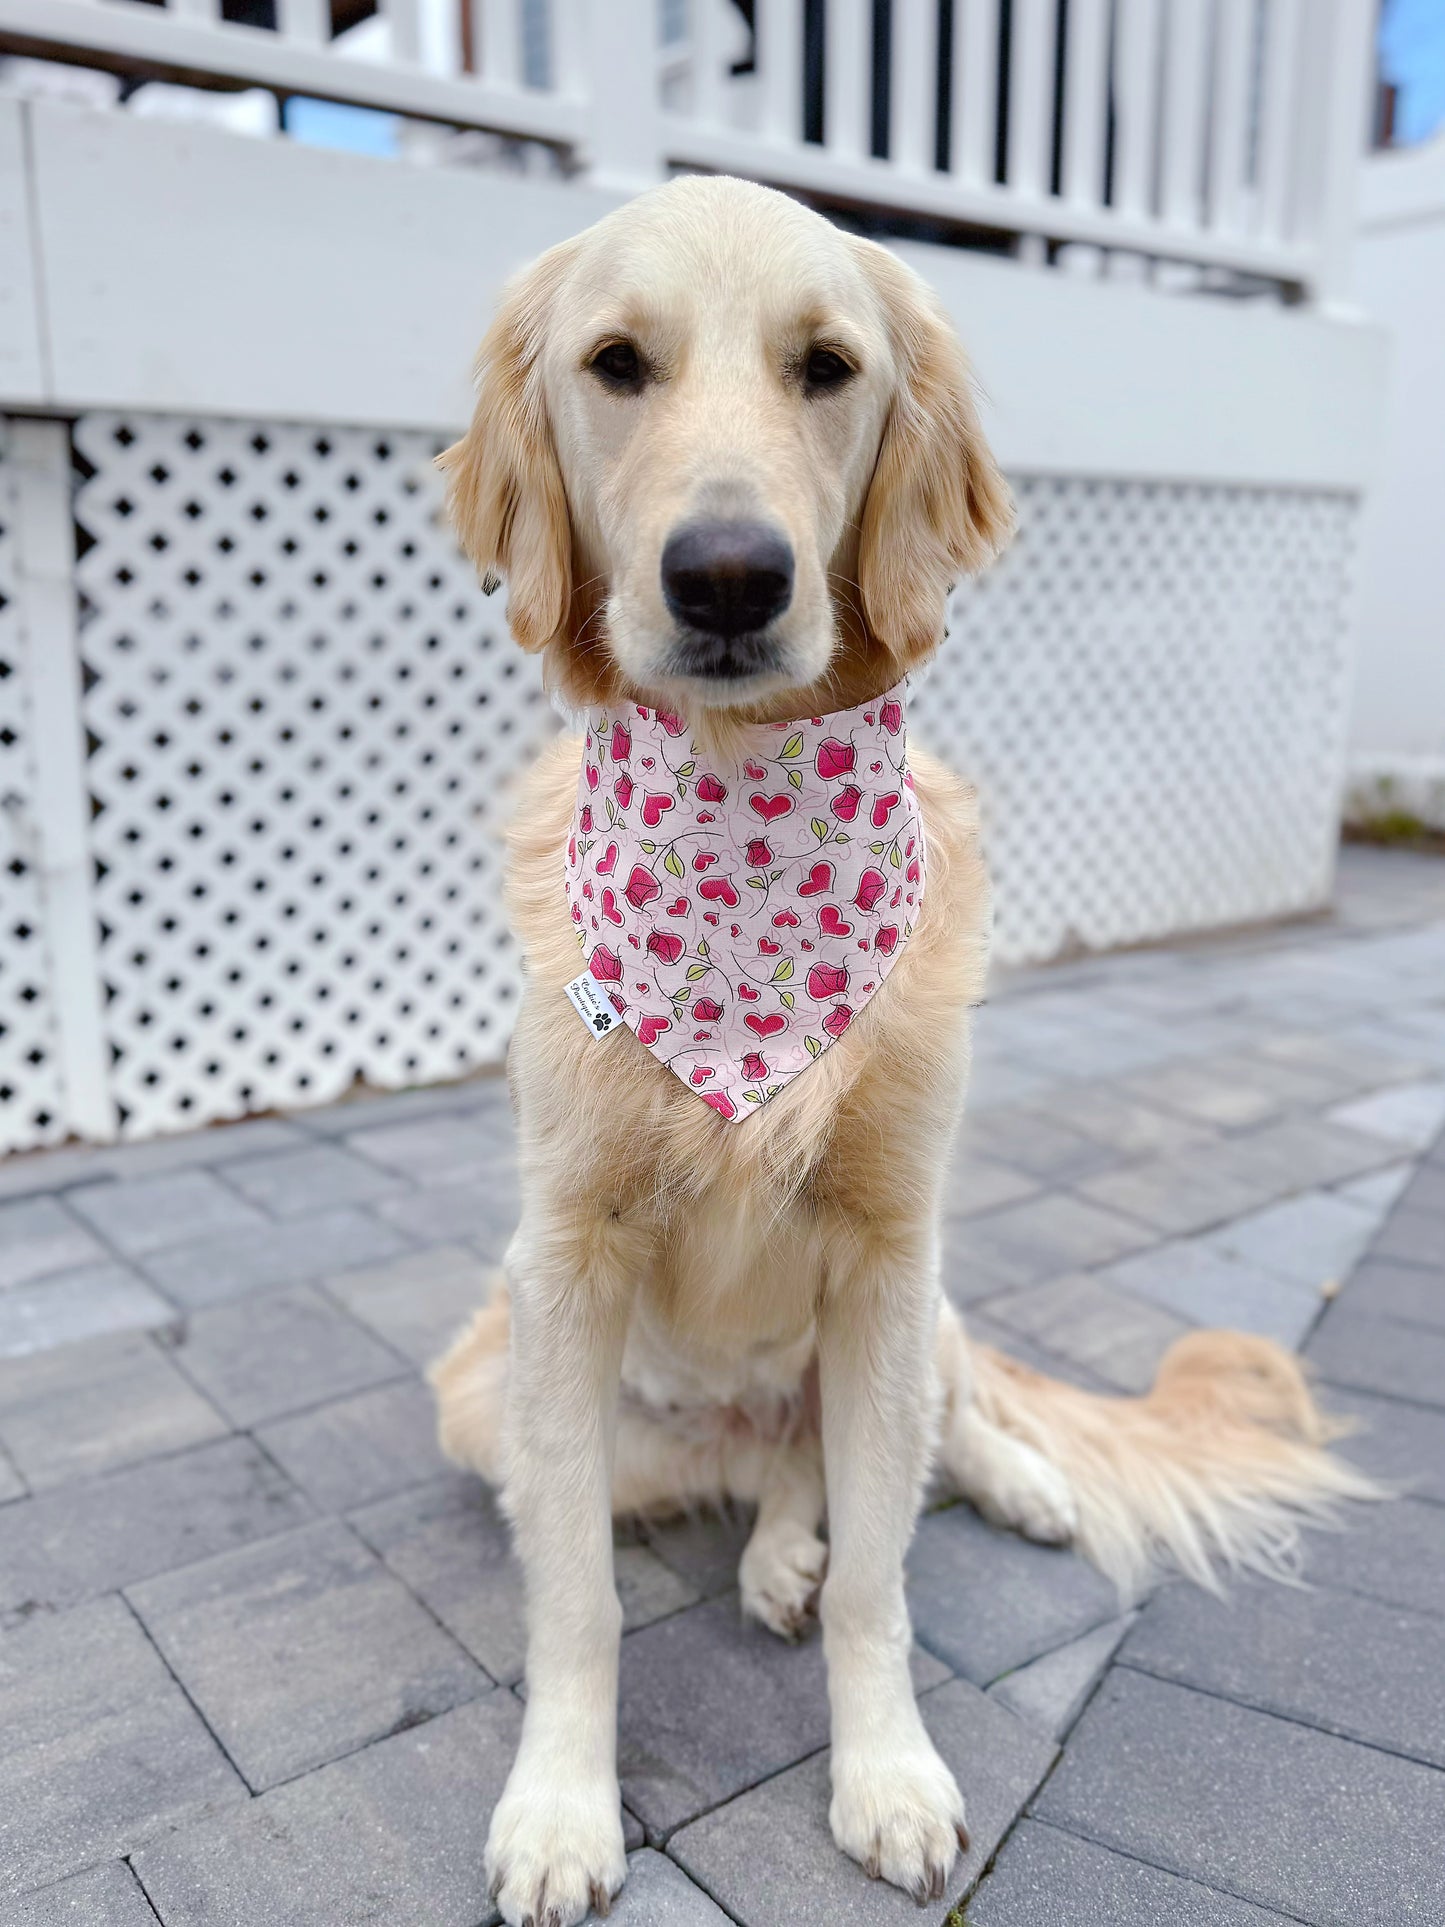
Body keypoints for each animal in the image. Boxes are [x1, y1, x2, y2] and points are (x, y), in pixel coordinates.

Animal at [427, 173, 1371, 1919]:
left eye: (826, 366)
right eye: (614, 363)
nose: (731, 576)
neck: (742, 825)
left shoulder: (884, 1247)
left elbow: (886, 1574)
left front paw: (888, 1772)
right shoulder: (563, 1263)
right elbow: (578, 1595)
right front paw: (561, 1808)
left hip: (918, 1307)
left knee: (932, 1431)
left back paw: (1009, 1485)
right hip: (499, 1392)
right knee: (768, 1472)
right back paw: (774, 1546)